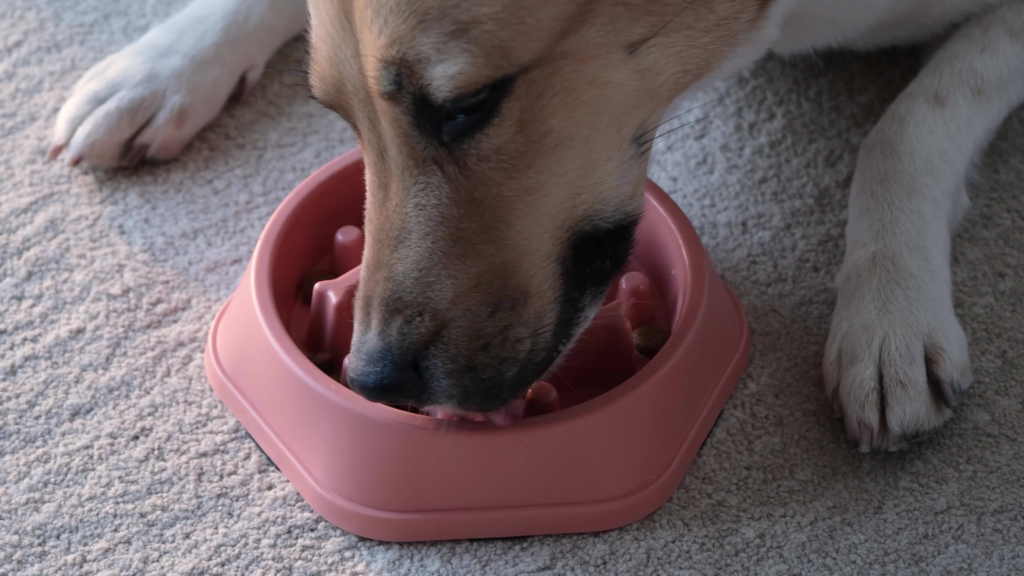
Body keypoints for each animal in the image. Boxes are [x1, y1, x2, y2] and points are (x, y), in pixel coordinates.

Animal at [51, 0, 1024, 448]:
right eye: (335, 114)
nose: (371, 380)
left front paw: (889, 316)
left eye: (466, 106)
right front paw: (165, 64)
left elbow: (908, 126)